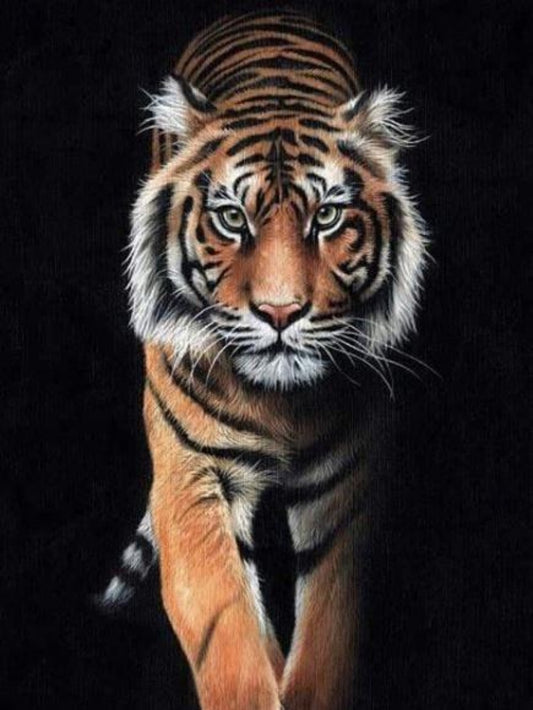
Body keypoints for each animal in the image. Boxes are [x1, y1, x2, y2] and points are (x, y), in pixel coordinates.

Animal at [96, 9, 428, 710]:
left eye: (327, 216)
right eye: (230, 218)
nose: (280, 313)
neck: (278, 403)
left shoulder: (348, 483)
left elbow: (327, 635)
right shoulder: (190, 477)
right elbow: (226, 631)